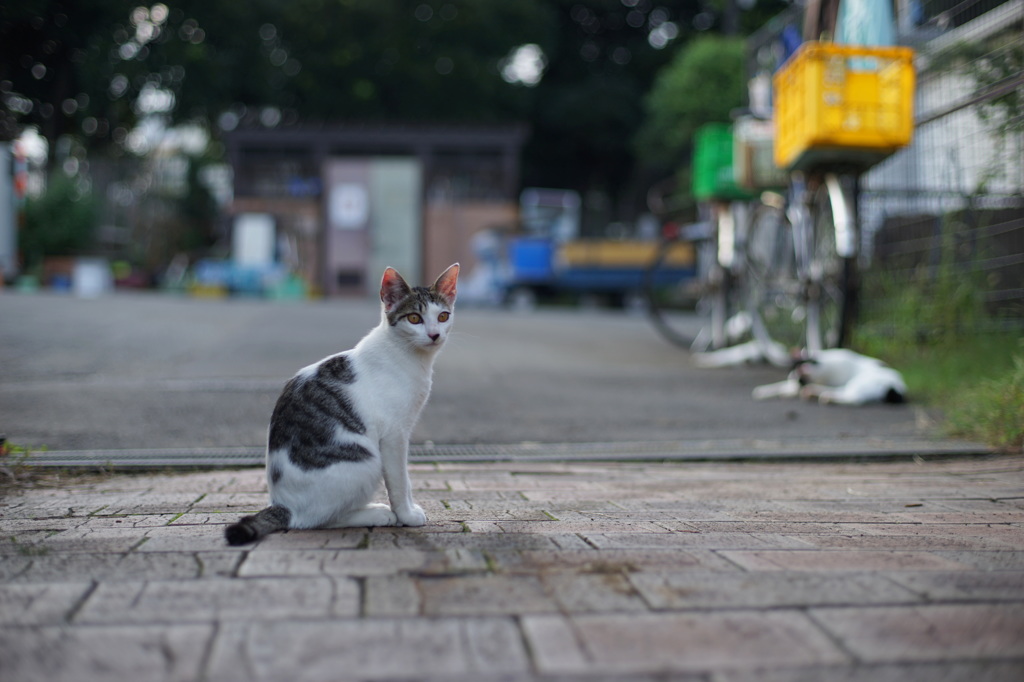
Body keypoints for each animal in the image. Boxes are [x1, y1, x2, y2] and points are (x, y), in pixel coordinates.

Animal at [229, 262, 464, 544]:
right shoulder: (394, 435)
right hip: (367, 460)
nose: (434, 335)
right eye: (414, 318)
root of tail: (282, 504)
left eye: (443, 316)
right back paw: (377, 514)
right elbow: (400, 480)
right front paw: (406, 515)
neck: (407, 355)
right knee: (315, 520)